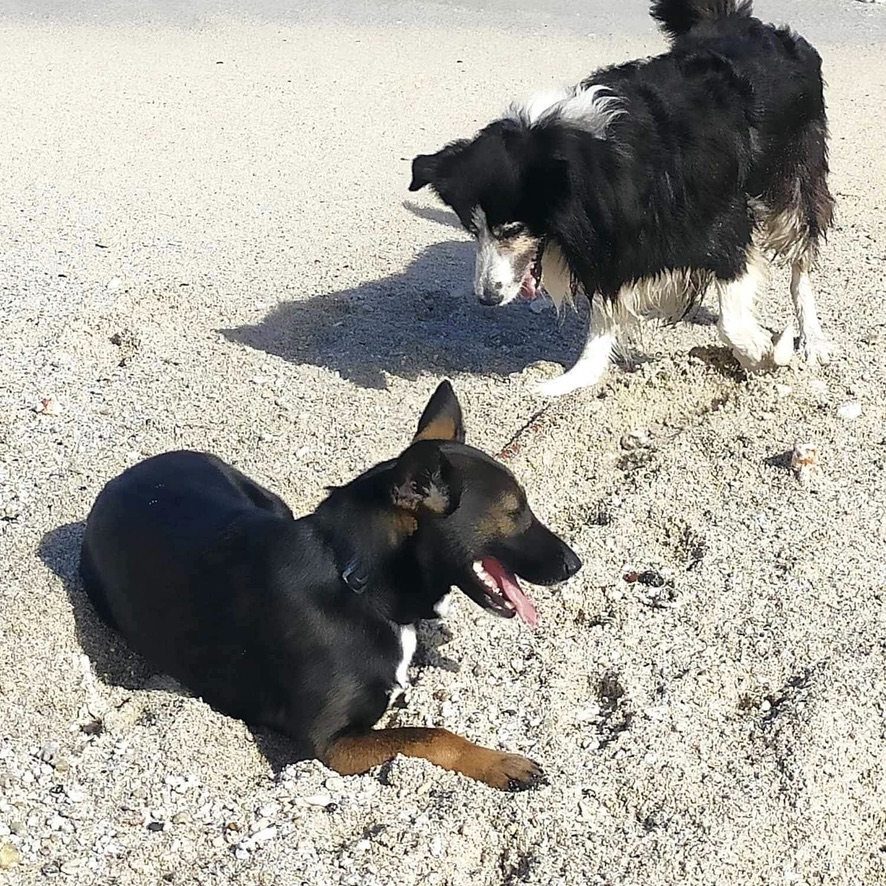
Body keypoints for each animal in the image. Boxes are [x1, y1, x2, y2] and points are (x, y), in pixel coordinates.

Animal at [80, 382, 584, 792]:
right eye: (516, 512)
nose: (575, 564)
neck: (357, 582)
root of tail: (129, 473)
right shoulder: (333, 745)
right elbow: (431, 733)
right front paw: (500, 762)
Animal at [410, 0, 832, 396]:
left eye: (511, 229)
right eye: (473, 230)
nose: (486, 298)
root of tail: (736, 21)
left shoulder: (719, 221)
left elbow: (730, 318)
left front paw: (767, 353)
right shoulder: (611, 235)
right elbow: (604, 307)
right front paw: (575, 378)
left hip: (791, 180)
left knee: (800, 259)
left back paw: (812, 338)